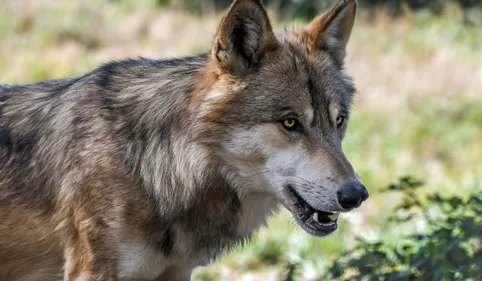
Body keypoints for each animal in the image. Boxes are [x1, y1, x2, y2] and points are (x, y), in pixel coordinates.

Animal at [0, 0, 370, 278]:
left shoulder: (177, 272)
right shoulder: (93, 271)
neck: (149, 167)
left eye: (339, 121)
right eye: (290, 123)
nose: (356, 194)